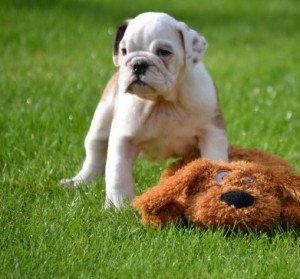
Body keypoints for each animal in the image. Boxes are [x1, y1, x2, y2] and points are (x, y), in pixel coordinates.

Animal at [62, 12, 229, 210]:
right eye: (124, 51)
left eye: (164, 52)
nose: (138, 64)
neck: (162, 102)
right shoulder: (123, 139)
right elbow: (118, 172)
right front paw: (118, 206)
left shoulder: (212, 132)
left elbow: (214, 160)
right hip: (100, 123)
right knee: (95, 154)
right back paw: (79, 181)